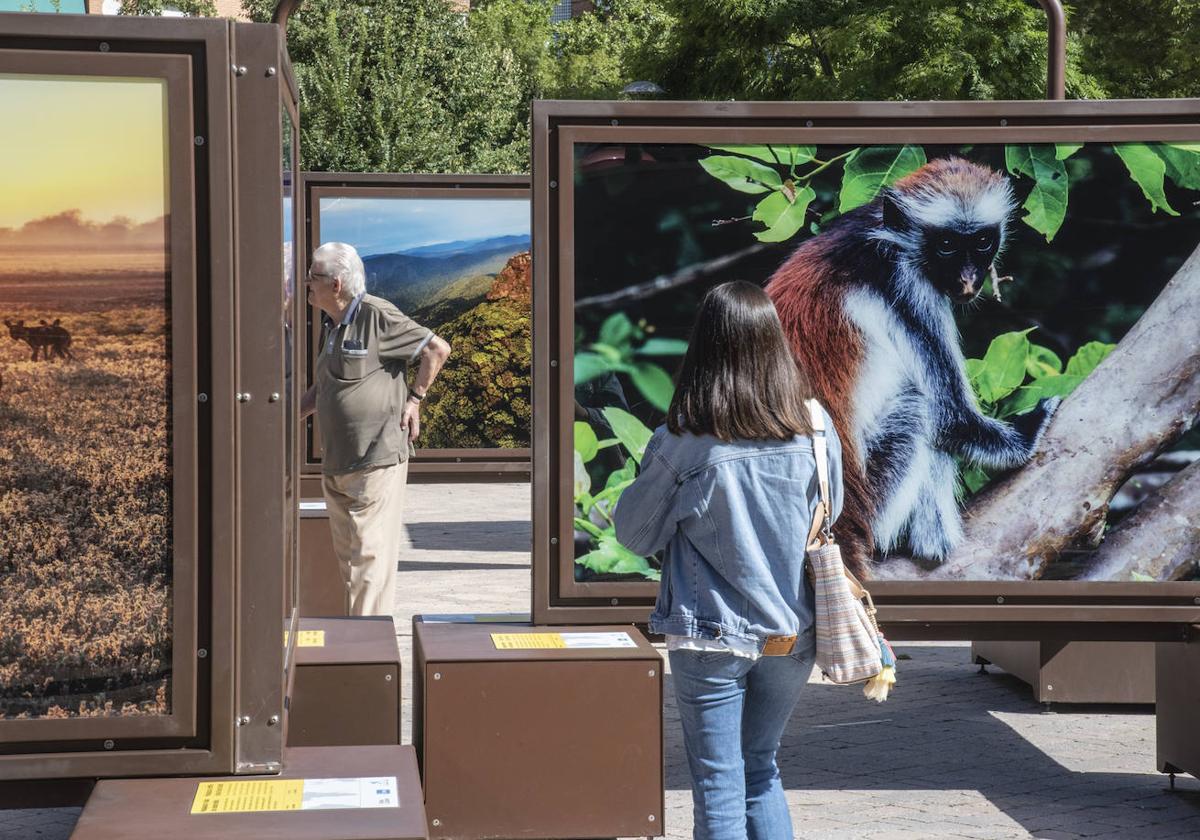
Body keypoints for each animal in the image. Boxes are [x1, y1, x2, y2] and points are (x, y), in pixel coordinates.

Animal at [768, 157, 1060, 578]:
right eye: (946, 245)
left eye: (982, 242)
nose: (968, 280)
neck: (887, 238)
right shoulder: (910, 290)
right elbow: (953, 420)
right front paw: (1030, 429)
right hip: (874, 500)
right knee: (919, 408)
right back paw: (933, 544)